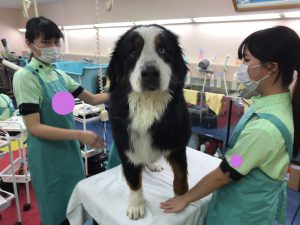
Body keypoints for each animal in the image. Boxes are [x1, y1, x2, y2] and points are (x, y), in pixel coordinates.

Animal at [108, 24, 191, 220]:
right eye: (132, 52)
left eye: (162, 50)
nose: (150, 73)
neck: (148, 103)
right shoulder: (127, 147)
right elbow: (134, 180)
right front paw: (136, 205)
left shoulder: (178, 145)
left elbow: (181, 175)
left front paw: (181, 198)